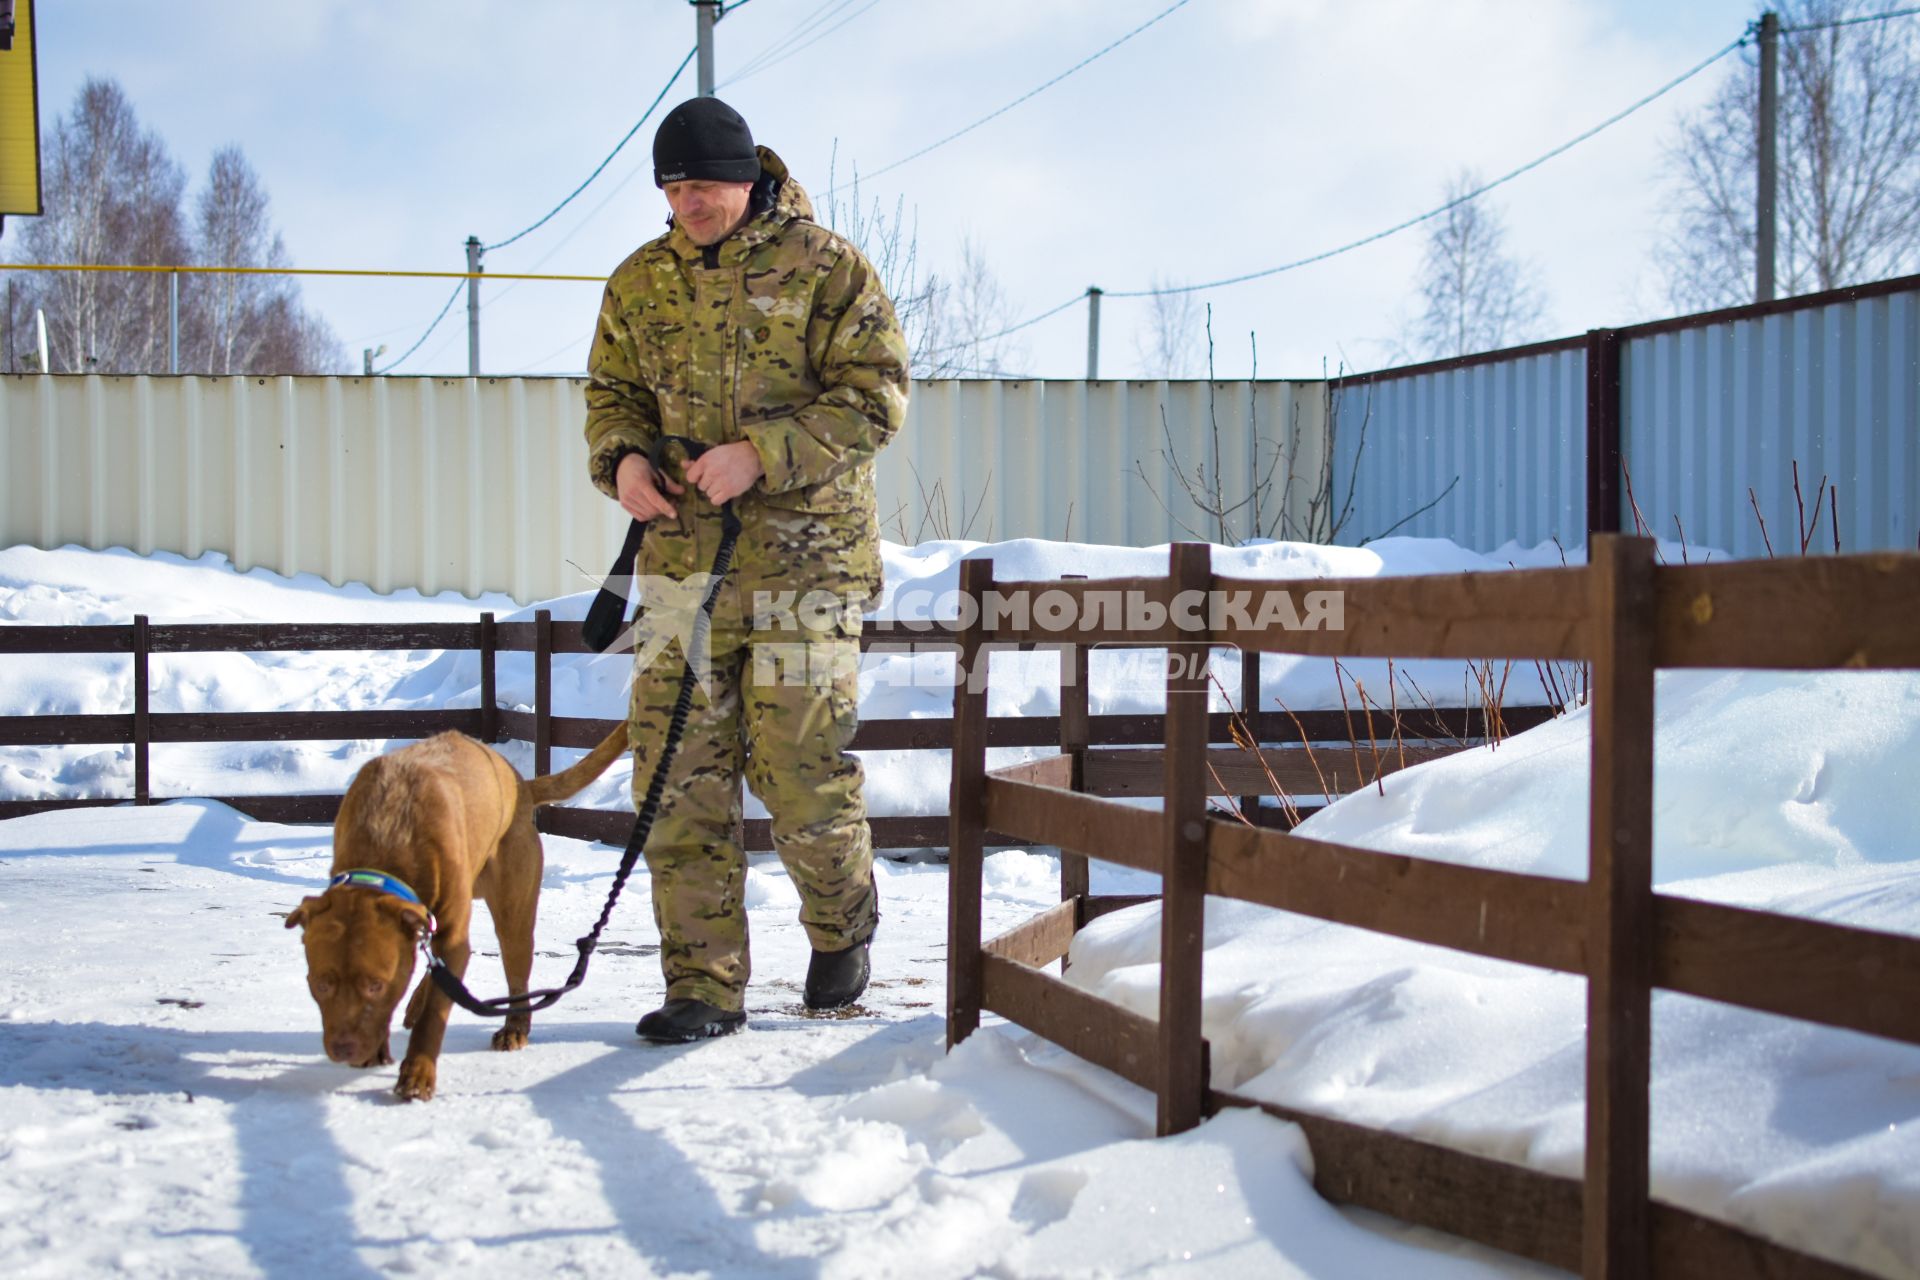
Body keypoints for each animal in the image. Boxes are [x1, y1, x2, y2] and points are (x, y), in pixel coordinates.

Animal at [282, 729, 622, 1105]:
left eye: (375, 985)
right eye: (320, 984)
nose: (344, 1049)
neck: (387, 840)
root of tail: (520, 784)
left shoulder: (453, 936)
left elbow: (436, 1010)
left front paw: (417, 1075)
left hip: (513, 910)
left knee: (515, 971)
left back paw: (514, 1028)